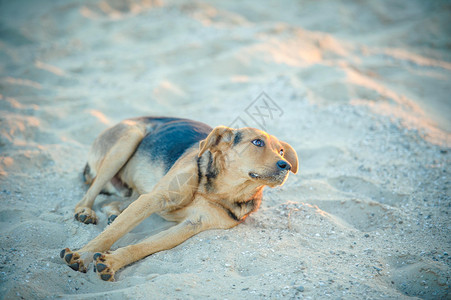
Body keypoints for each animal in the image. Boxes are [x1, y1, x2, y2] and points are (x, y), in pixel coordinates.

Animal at [61, 117, 300, 282]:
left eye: (281, 151)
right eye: (257, 142)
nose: (286, 166)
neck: (217, 190)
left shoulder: (192, 225)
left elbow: (143, 246)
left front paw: (112, 262)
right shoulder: (155, 198)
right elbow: (109, 235)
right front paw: (82, 254)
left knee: (116, 203)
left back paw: (112, 213)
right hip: (128, 139)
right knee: (91, 192)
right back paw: (86, 211)